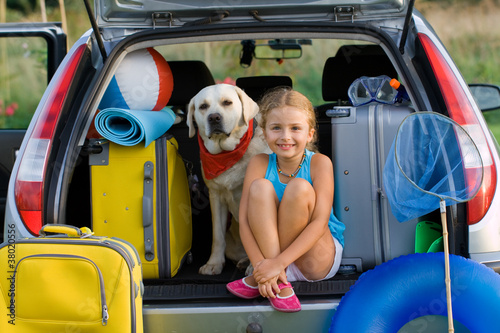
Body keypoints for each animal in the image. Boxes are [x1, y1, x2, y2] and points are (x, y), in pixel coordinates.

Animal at [188, 83, 270, 274]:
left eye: (227, 102)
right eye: (203, 106)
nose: (214, 117)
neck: (227, 155)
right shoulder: (216, 197)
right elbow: (217, 236)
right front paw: (214, 264)